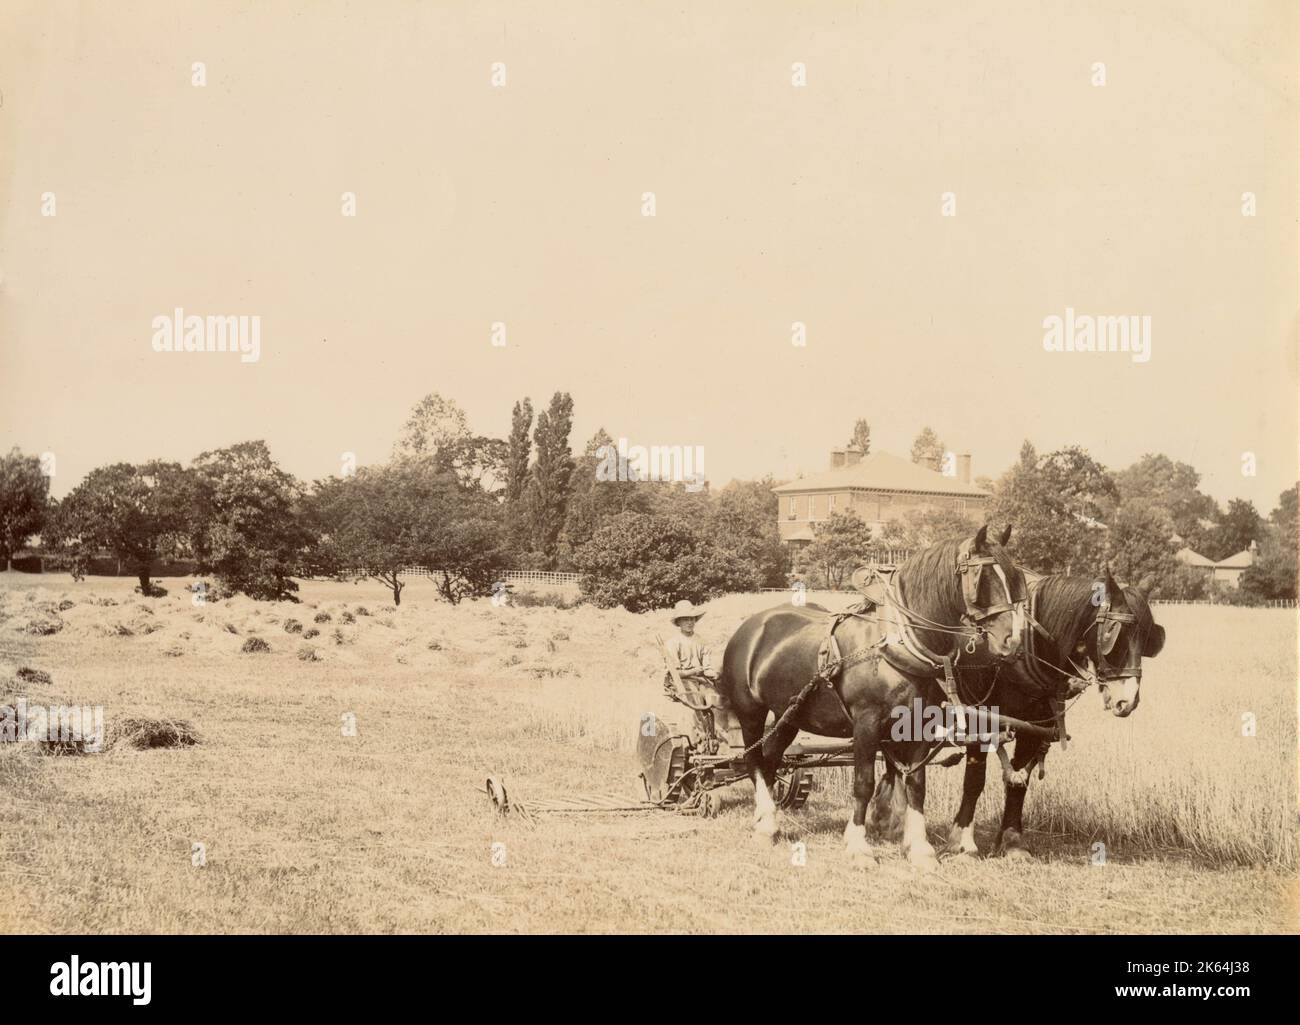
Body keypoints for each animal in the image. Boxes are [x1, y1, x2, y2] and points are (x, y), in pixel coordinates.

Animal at [722, 528, 1024, 874]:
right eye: (982, 578)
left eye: (1013, 578)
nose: (1013, 642)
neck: (899, 644)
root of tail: (752, 625)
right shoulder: (866, 723)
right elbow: (863, 782)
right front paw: (859, 847)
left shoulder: (919, 724)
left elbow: (916, 783)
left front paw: (920, 849)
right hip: (750, 713)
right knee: (754, 760)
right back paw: (764, 824)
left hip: (789, 715)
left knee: (771, 759)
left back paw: (767, 821)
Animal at [878, 569, 1164, 858]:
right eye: (1114, 637)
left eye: (1148, 637)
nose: (1127, 700)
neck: (1028, 650)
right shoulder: (979, 722)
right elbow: (974, 781)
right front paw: (962, 842)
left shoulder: (1035, 723)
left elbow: (1019, 783)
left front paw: (1013, 841)